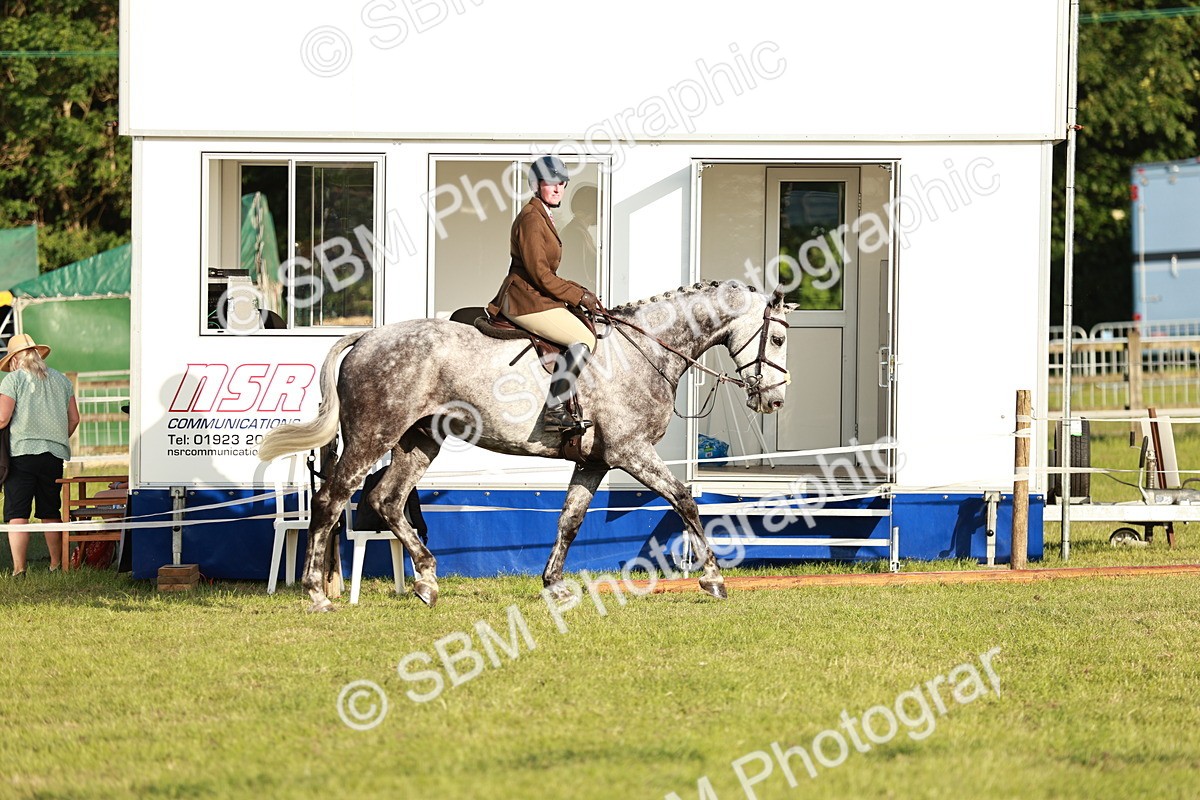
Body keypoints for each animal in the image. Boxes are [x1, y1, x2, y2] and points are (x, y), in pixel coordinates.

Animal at [258, 280, 795, 612]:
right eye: (779, 339)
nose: (774, 400)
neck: (644, 350)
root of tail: (367, 337)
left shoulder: (594, 462)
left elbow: (570, 520)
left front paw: (554, 585)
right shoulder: (631, 453)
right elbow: (684, 498)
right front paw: (714, 578)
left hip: (418, 440)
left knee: (385, 499)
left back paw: (427, 581)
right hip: (374, 435)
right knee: (331, 500)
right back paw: (318, 594)